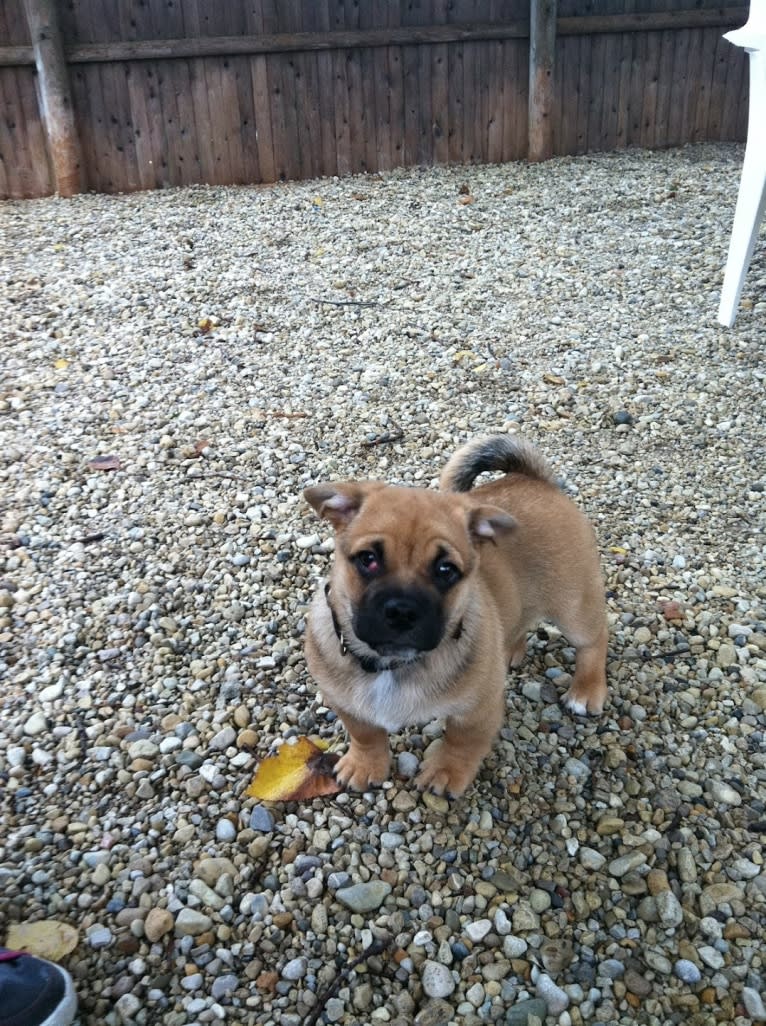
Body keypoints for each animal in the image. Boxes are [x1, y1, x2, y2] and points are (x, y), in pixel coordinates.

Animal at [303, 437, 607, 796]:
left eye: (446, 570)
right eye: (368, 559)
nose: (402, 610)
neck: (393, 666)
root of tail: (535, 480)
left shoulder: (476, 712)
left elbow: (461, 743)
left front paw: (446, 772)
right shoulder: (346, 704)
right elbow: (365, 734)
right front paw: (365, 764)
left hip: (573, 606)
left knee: (594, 640)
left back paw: (586, 690)